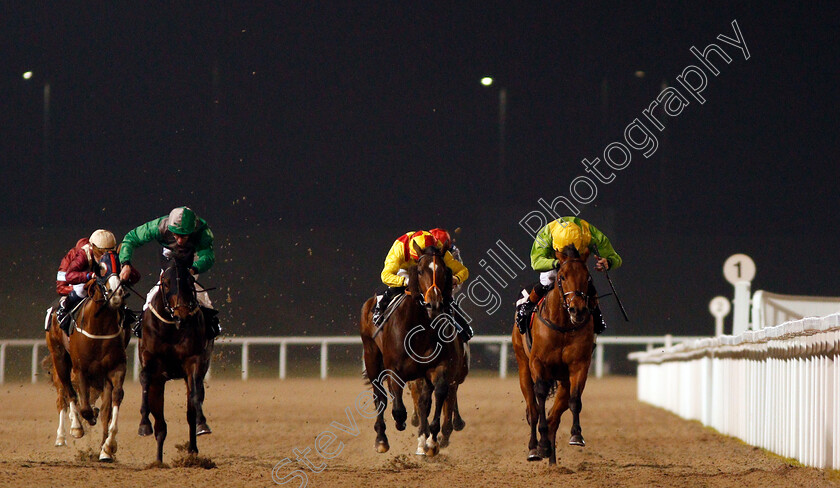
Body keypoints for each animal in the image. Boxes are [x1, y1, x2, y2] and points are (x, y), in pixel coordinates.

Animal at [45, 252, 129, 462]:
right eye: (101, 268)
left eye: (121, 266)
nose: (116, 294)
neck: (100, 325)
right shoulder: (81, 369)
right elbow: (82, 405)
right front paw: (83, 422)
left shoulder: (115, 368)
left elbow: (113, 402)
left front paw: (108, 448)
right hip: (59, 357)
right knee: (66, 392)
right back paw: (69, 431)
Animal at [135, 250, 212, 464]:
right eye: (166, 282)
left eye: (189, 281)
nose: (182, 314)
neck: (171, 327)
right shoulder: (150, 360)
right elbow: (145, 379)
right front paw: (143, 424)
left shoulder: (193, 360)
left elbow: (195, 397)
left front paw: (202, 423)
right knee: (160, 423)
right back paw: (158, 460)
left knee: (191, 408)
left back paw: (193, 450)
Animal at [356, 242, 456, 456]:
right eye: (419, 271)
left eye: (444, 271)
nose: (434, 304)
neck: (419, 328)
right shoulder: (394, 369)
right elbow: (397, 407)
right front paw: (399, 422)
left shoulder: (437, 367)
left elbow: (438, 395)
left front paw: (432, 442)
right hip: (371, 355)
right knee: (379, 395)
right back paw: (381, 439)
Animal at [512, 244, 596, 466]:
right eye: (563, 276)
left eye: (587, 277)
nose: (577, 310)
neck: (564, 325)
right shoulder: (538, 363)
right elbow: (540, 395)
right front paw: (539, 444)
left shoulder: (579, 364)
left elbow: (575, 400)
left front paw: (576, 435)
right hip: (523, 365)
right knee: (532, 410)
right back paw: (535, 448)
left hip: (563, 379)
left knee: (555, 416)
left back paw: (551, 457)